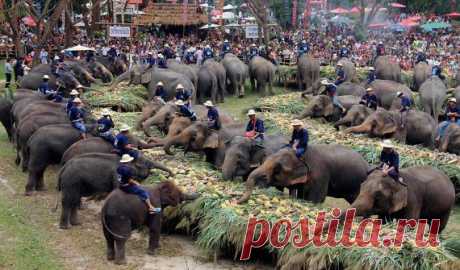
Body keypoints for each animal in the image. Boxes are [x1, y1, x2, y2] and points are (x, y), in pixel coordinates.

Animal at [237, 144, 370, 204]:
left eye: (278, 168)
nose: (236, 200)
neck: (302, 154)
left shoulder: (320, 174)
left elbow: (315, 199)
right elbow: (301, 195)